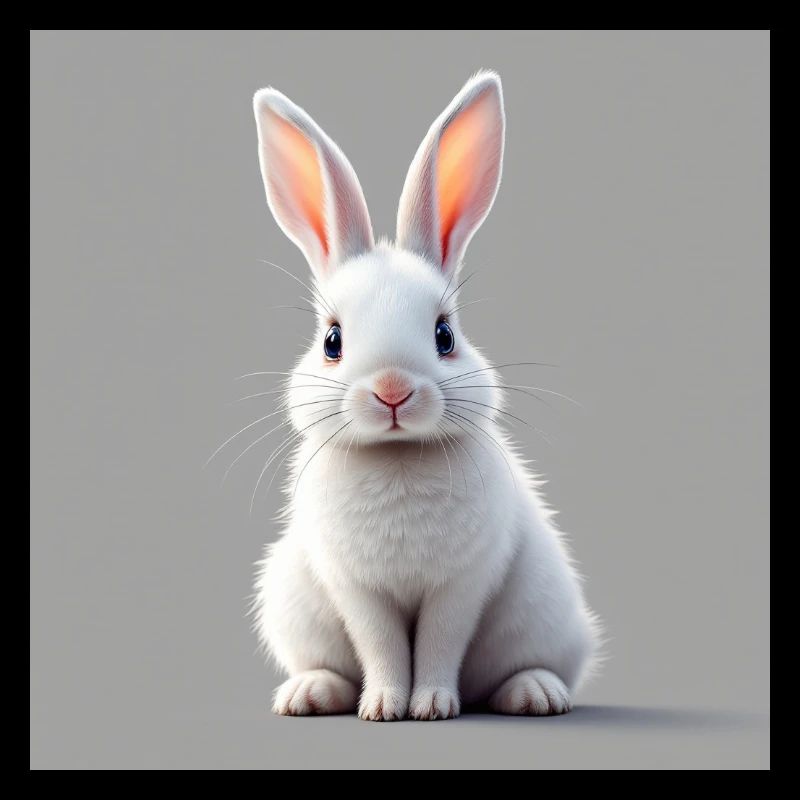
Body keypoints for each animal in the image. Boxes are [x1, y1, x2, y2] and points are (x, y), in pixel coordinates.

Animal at [246, 71, 601, 721]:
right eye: (332, 340)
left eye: (445, 335)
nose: (392, 389)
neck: (398, 457)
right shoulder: (356, 589)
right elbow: (382, 645)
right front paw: (385, 706)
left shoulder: (461, 585)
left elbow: (439, 642)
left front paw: (432, 705)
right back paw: (309, 693)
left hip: (545, 612)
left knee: (518, 667)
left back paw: (535, 693)